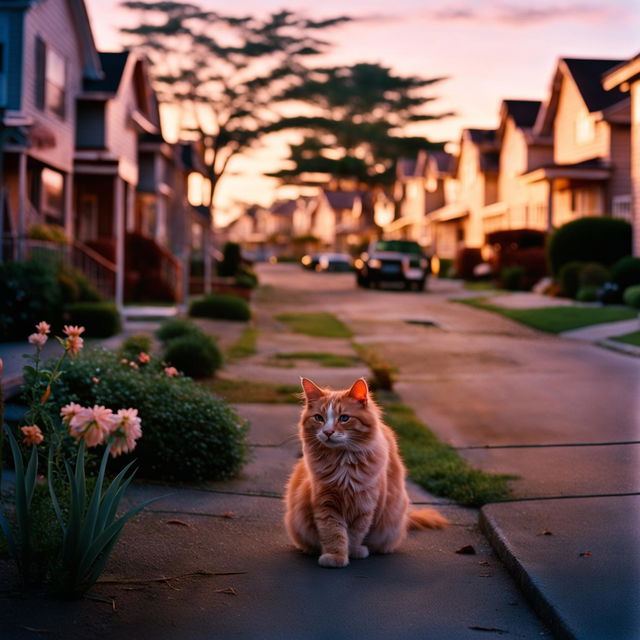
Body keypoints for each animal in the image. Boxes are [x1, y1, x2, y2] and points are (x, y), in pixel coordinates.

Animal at [282, 378, 448, 568]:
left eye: (344, 418)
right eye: (319, 418)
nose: (328, 432)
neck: (343, 464)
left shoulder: (365, 505)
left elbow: (355, 534)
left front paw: (352, 551)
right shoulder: (326, 503)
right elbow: (333, 533)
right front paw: (336, 556)